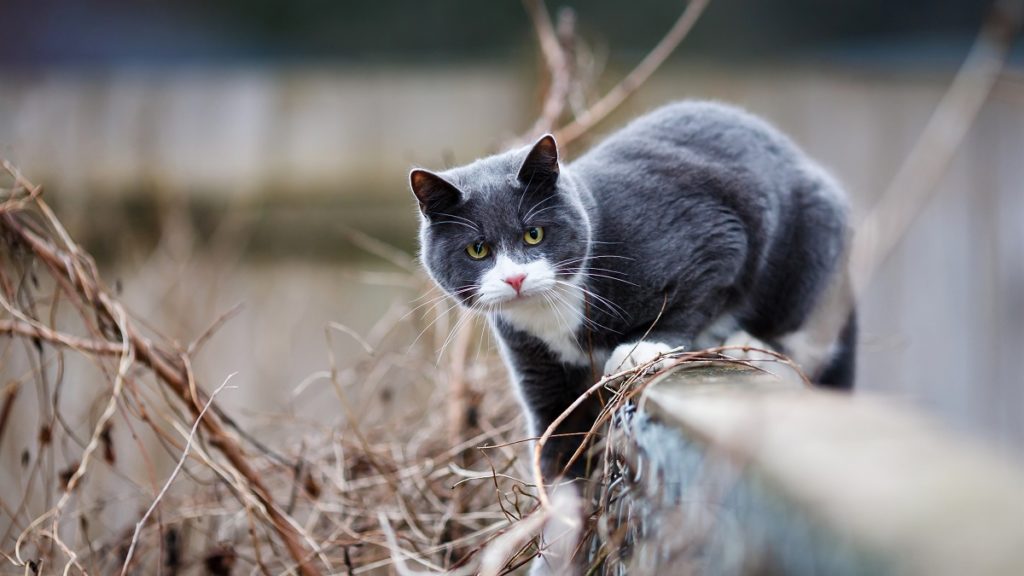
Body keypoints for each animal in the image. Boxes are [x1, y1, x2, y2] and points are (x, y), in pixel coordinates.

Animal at [407, 99, 856, 475]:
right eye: (478, 249)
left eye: (534, 234)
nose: (515, 278)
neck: (554, 313)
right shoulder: (535, 360)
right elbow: (558, 445)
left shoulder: (717, 236)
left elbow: (695, 294)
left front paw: (643, 348)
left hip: (810, 251)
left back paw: (751, 346)